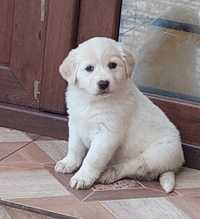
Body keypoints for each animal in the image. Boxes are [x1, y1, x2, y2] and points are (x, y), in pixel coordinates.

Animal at [54, 36, 184, 192]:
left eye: (112, 65)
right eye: (89, 68)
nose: (103, 83)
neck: (92, 101)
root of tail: (176, 165)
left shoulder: (107, 134)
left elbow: (93, 158)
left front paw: (82, 177)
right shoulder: (75, 124)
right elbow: (74, 147)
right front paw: (68, 163)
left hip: (157, 154)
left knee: (135, 167)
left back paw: (109, 173)